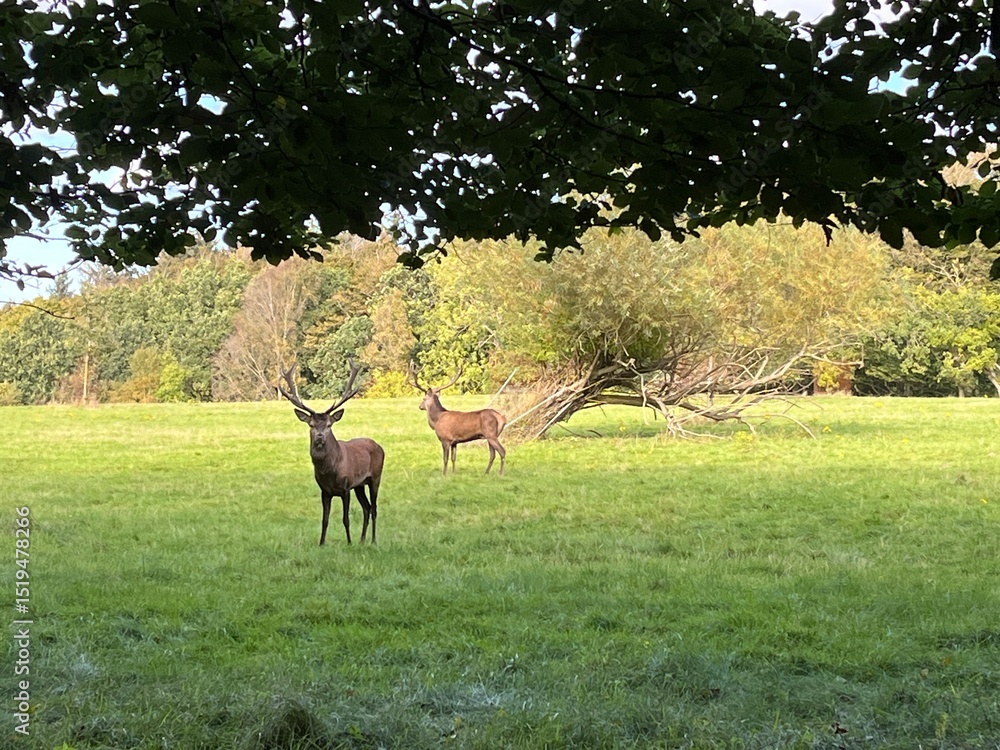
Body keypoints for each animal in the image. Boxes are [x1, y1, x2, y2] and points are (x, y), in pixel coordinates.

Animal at [278, 360, 384, 545]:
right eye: (311, 425)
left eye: (329, 425)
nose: (320, 436)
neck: (329, 471)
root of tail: (379, 446)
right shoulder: (325, 491)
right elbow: (324, 520)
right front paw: (321, 543)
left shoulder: (346, 487)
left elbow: (345, 519)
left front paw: (349, 542)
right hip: (359, 485)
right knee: (367, 507)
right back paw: (362, 540)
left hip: (375, 477)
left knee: (374, 508)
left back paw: (372, 540)